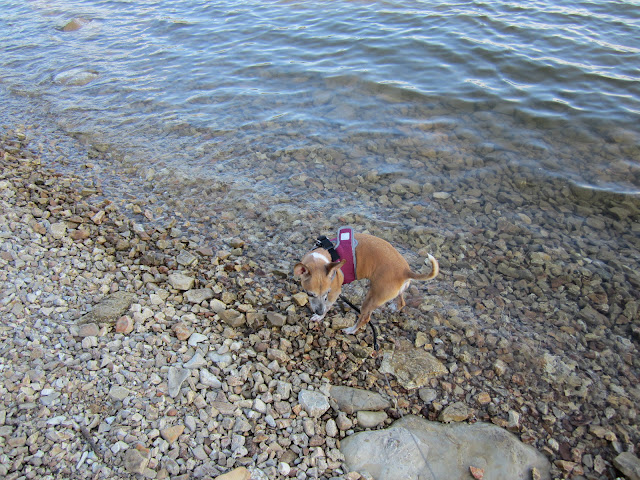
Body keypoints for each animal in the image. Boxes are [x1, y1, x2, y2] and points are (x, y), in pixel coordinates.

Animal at [292, 228, 438, 334]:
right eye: (309, 294)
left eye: (327, 293)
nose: (319, 312)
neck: (323, 255)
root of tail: (405, 271)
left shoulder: (335, 292)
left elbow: (328, 305)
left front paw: (319, 317)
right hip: (395, 291)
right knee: (402, 301)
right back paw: (394, 307)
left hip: (372, 298)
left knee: (365, 318)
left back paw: (350, 330)